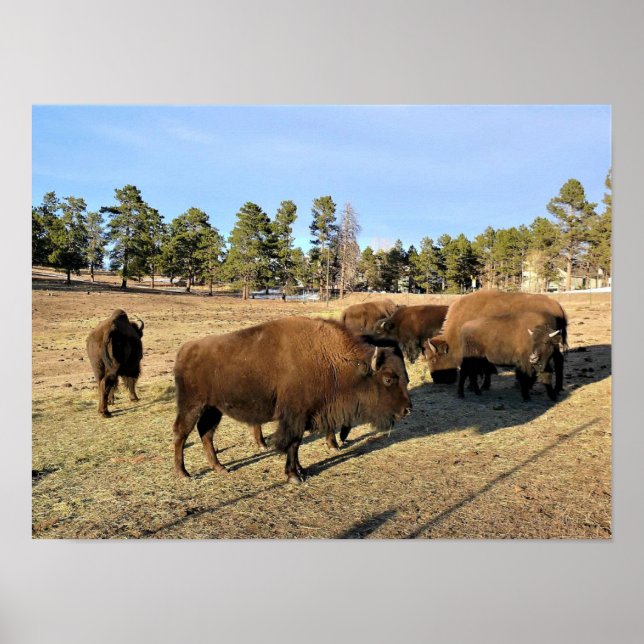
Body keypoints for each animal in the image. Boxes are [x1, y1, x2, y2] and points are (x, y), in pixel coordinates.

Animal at [172, 316, 412, 483]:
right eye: (388, 378)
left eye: (406, 377)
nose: (407, 409)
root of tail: (186, 349)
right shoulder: (295, 416)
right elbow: (293, 443)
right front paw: (293, 476)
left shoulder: (305, 415)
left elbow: (296, 445)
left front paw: (301, 470)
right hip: (192, 405)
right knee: (182, 433)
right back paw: (183, 473)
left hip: (214, 408)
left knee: (206, 432)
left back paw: (220, 467)